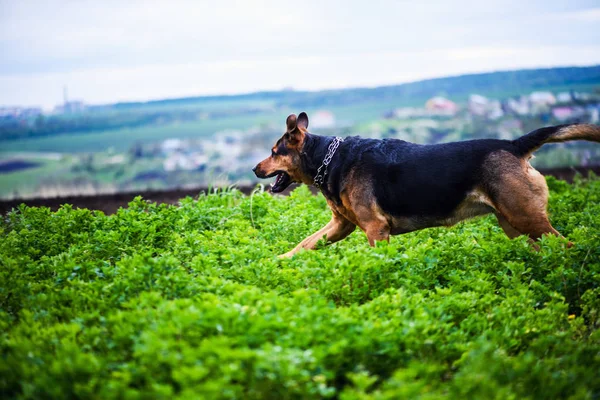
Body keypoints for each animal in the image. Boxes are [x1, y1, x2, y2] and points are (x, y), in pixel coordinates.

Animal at [253, 111, 600, 258]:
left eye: (273, 152)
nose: (255, 168)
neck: (327, 156)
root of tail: (513, 145)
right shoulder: (341, 225)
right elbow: (304, 244)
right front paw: (275, 262)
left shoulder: (375, 229)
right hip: (514, 224)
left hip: (525, 217)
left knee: (567, 245)